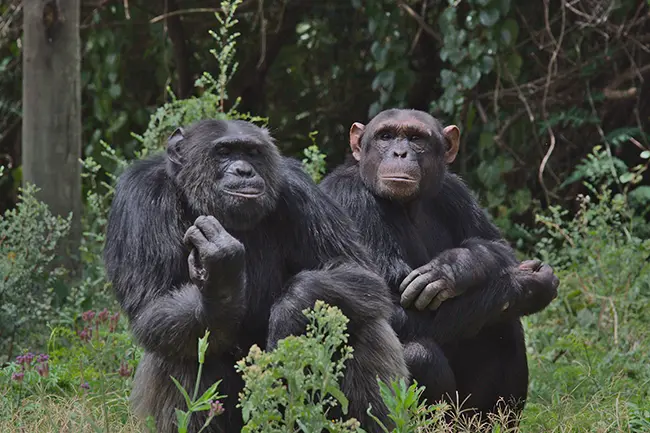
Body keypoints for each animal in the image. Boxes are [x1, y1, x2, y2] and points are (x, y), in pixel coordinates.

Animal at [102, 118, 408, 432]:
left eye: (251, 152)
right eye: (224, 152)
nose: (243, 170)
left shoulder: (301, 190)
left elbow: (355, 269)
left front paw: (290, 311)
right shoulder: (141, 197)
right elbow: (152, 304)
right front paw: (220, 280)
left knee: (361, 321)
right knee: (178, 347)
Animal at [318, 108, 556, 422]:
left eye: (416, 138)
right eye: (385, 136)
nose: (400, 152)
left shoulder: (455, 190)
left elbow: (496, 244)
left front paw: (453, 268)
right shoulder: (351, 201)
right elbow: (386, 309)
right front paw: (528, 285)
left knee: (506, 327)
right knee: (420, 354)